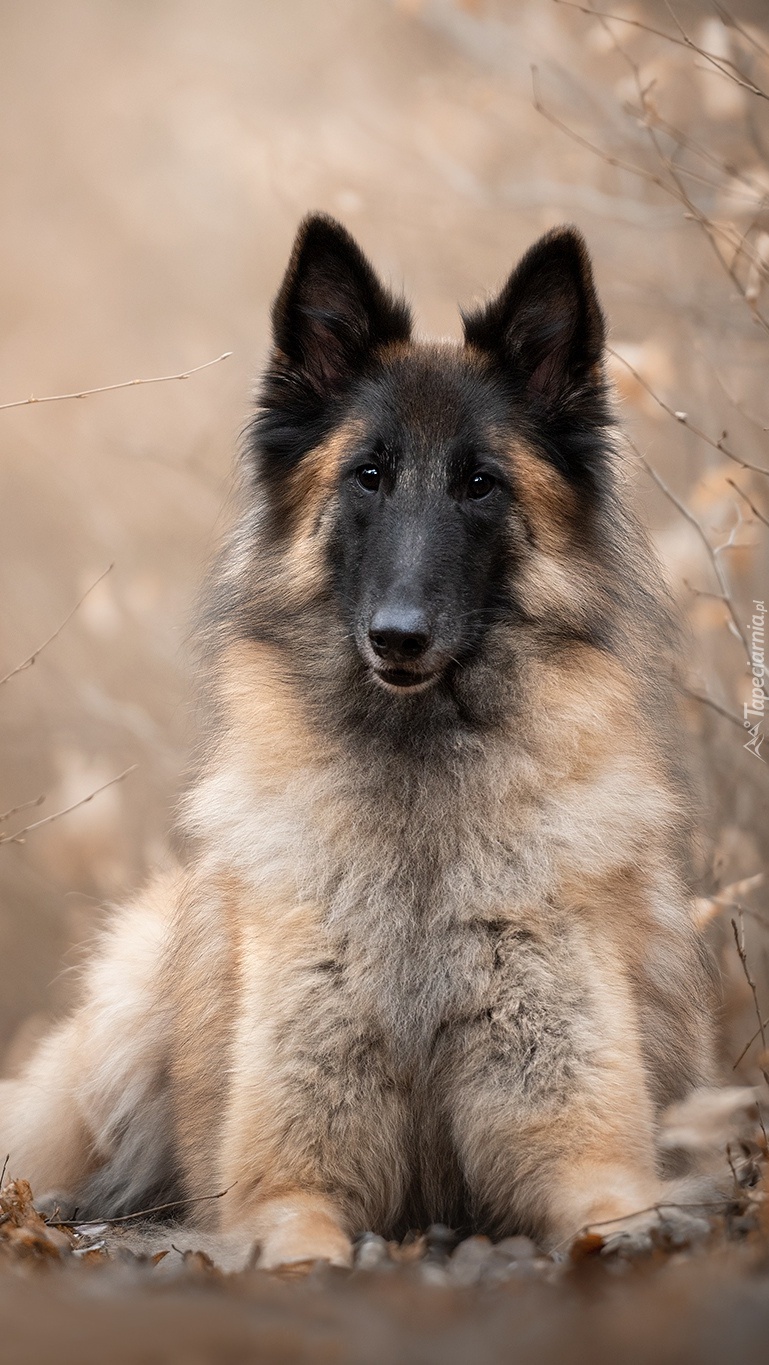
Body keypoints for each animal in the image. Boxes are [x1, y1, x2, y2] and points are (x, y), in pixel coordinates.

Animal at [1, 215, 721, 1266]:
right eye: (367, 476)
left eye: (479, 484)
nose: (398, 636)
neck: (417, 805)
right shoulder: (284, 1186)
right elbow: (303, 1240)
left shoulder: (584, 1149)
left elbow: (614, 1209)